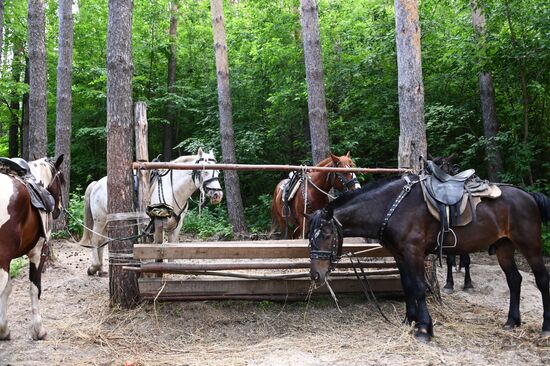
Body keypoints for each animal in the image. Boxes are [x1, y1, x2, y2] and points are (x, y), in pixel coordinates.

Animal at [0, 156, 65, 342]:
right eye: (61, 180)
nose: (58, 210)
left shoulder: (8, 260)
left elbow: (7, 290)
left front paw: (4, 330)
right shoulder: (38, 253)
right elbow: (35, 289)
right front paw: (38, 330)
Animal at [79, 147, 224, 276]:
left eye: (217, 172)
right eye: (205, 172)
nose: (217, 195)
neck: (173, 190)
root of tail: (97, 184)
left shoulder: (176, 227)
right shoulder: (155, 225)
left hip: (107, 223)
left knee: (101, 242)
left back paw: (101, 270)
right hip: (100, 221)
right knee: (95, 241)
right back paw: (94, 267)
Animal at [308, 174, 550, 340]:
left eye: (326, 235)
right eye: (310, 237)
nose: (316, 274)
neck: (392, 207)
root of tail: (528, 196)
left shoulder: (413, 252)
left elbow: (418, 287)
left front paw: (424, 328)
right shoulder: (400, 255)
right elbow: (406, 286)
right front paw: (409, 320)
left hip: (530, 245)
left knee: (541, 280)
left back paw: (546, 327)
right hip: (503, 246)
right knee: (514, 280)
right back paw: (512, 321)